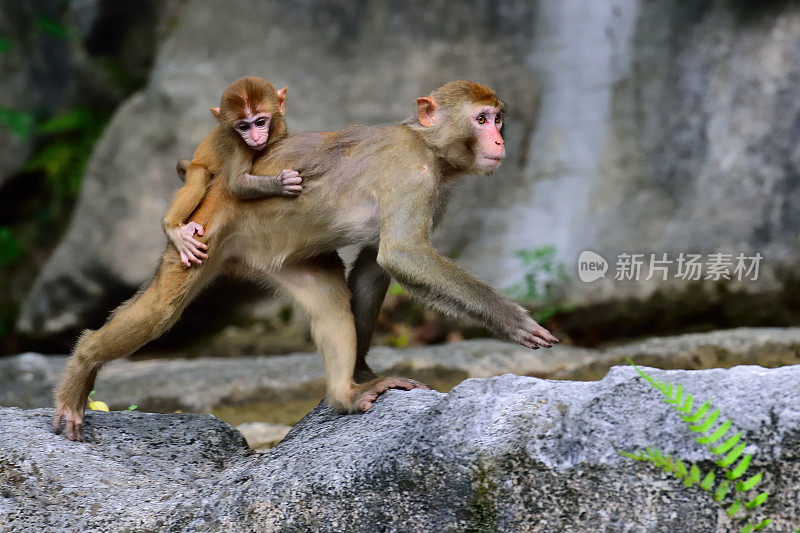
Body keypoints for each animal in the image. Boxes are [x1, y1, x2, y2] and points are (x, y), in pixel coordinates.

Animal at [162, 76, 300, 264]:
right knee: (201, 176)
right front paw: (281, 183)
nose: (255, 138)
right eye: (244, 127)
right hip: (195, 167)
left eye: (260, 122)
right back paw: (172, 228)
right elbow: (236, 183)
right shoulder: (239, 145)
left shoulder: (280, 128)